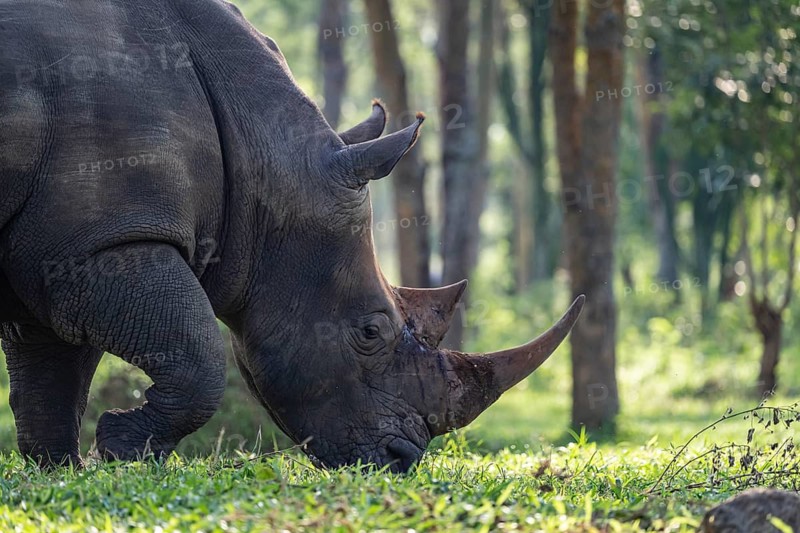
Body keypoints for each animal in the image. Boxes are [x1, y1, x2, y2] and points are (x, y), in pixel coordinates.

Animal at [0, 0, 584, 472]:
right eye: (370, 332)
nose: (401, 460)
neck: (265, 159)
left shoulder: (64, 252)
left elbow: (53, 373)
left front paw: (61, 467)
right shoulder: (104, 243)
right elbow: (198, 360)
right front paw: (121, 450)